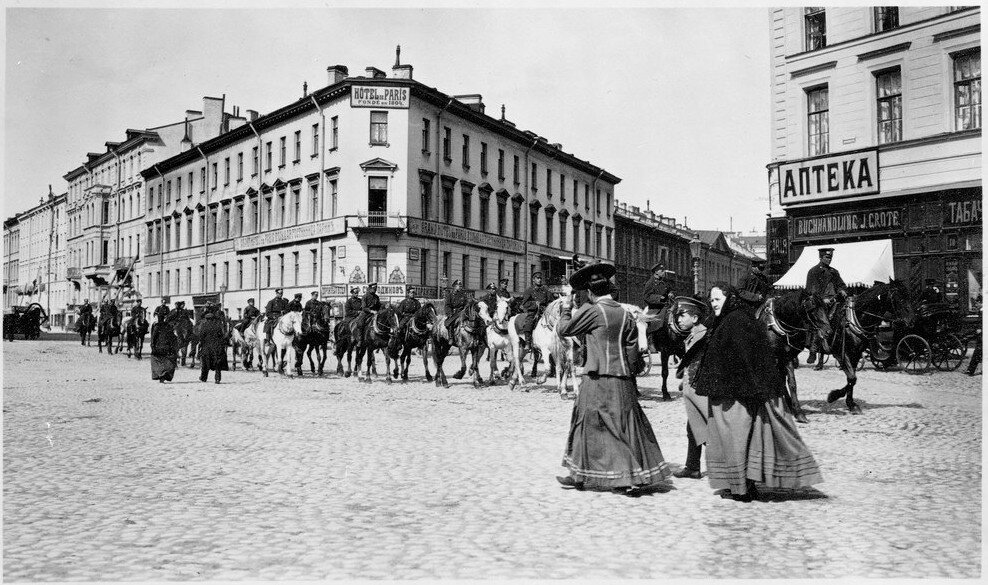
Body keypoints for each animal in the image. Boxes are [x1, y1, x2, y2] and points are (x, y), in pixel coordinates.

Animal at [760, 288, 828, 422]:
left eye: (824, 307)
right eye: (812, 309)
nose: (828, 330)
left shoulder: (786, 357)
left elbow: (792, 383)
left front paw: (797, 411)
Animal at [816, 280, 916, 412]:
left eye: (909, 296)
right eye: (898, 298)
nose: (911, 321)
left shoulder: (856, 353)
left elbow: (851, 379)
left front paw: (850, 403)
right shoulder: (840, 353)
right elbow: (852, 378)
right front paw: (833, 396)